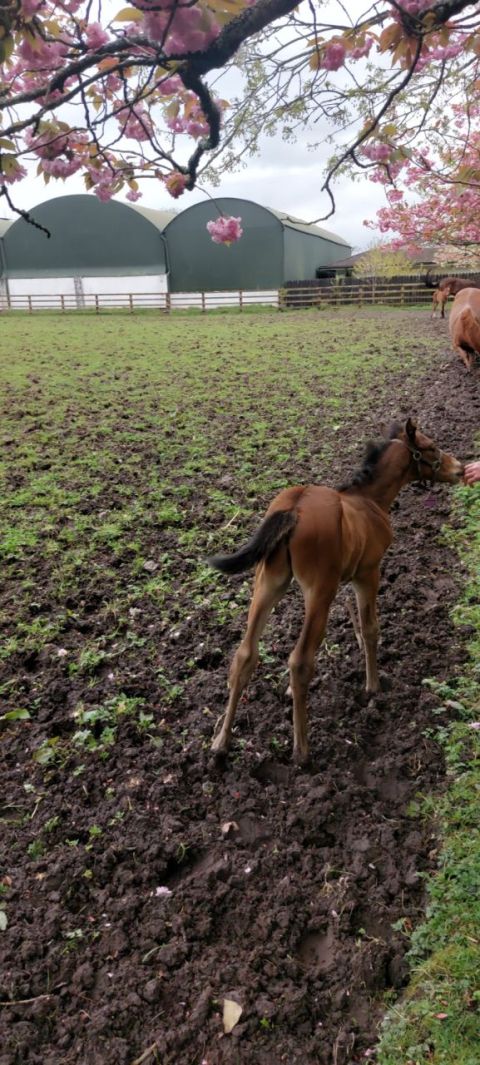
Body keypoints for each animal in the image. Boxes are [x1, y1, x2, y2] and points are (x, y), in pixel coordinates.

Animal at [208, 419, 463, 764]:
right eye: (431, 447)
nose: (459, 469)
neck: (369, 501)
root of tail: (295, 506)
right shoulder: (368, 573)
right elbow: (369, 628)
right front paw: (373, 685)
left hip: (269, 583)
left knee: (245, 654)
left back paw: (221, 742)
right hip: (319, 590)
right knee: (300, 660)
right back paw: (302, 750)